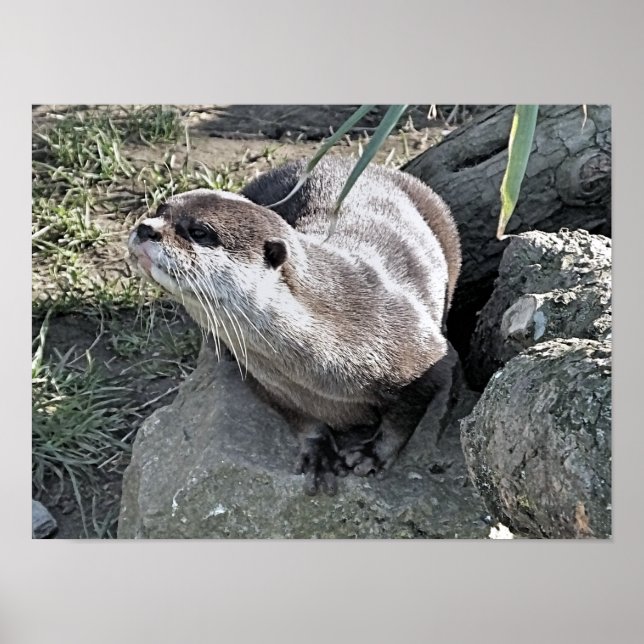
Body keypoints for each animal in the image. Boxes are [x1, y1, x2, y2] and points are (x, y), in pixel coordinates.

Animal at [127, 157, 461, 495]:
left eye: (199, 231)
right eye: (160, 208)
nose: (146, 228)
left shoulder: (424, 354)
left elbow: (406, 415)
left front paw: (373, 454)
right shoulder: (267, 382)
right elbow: (298, 417)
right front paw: (318, 452)